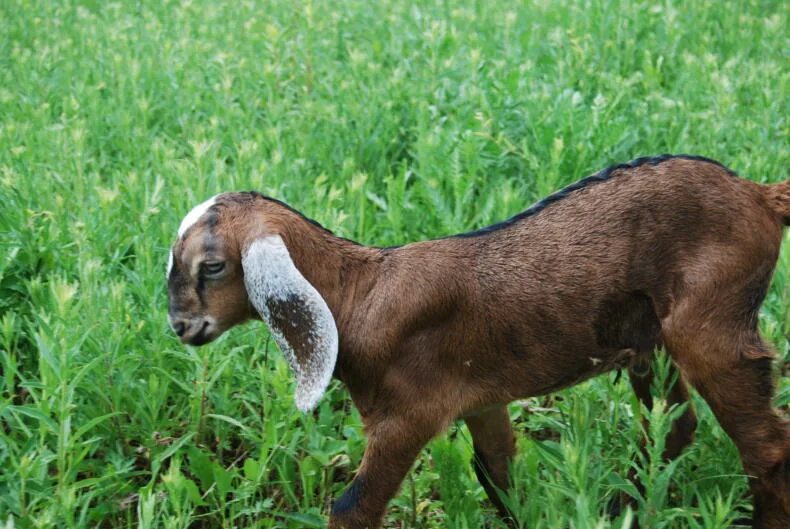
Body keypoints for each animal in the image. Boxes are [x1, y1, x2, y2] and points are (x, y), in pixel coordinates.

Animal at [164, 154, 788, 528]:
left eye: (212, 266)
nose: (179, 326)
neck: (359, 295)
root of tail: (760, 193)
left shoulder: (406, 415)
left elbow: (352, 507)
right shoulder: (479, 399)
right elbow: (498, 473)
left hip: (711, 323)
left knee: (766, 448)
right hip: (648, 339)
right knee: (675, 424)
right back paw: (618, 507)